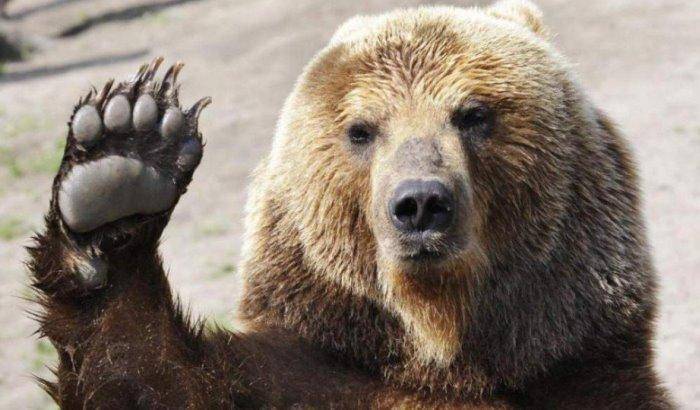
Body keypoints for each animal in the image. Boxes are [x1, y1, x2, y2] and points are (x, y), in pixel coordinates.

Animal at [27, 0, 672, 408]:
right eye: (361, 130)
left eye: (473, 113)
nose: (421, 204)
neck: (440, 350)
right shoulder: (301, 375)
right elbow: (142, 377)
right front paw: (123, 157)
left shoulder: (587, 381)